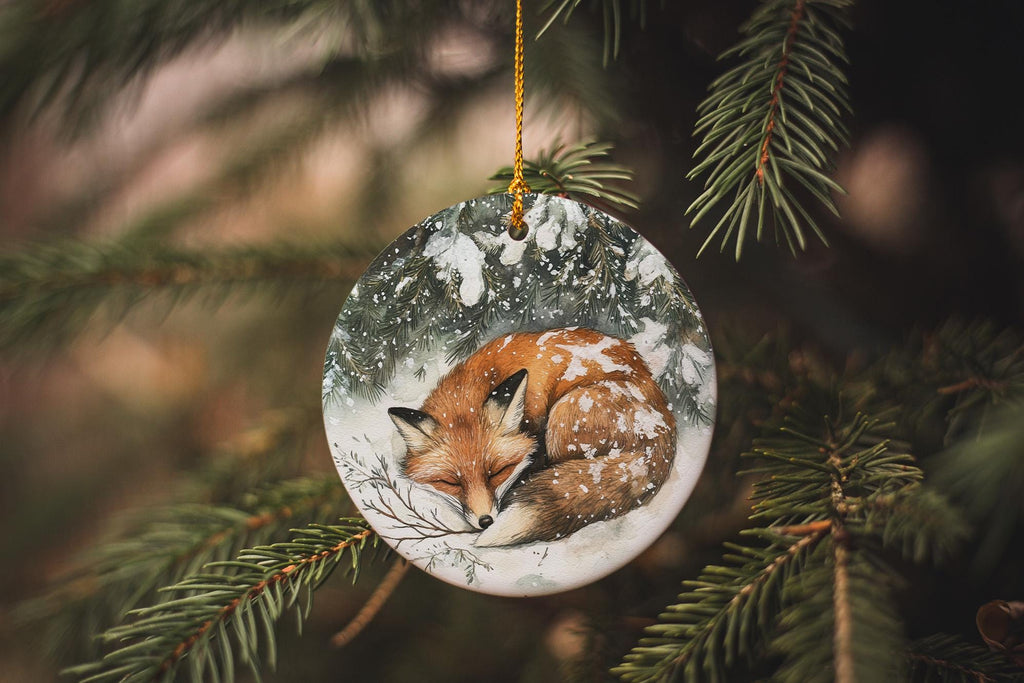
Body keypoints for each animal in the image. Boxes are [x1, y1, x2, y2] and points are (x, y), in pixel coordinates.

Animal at [387, 327, 677, 547]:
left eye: (498, 472)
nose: (485, 521)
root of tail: (661, 423)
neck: (477, 381)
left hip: (563, 412)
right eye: (450, 482)